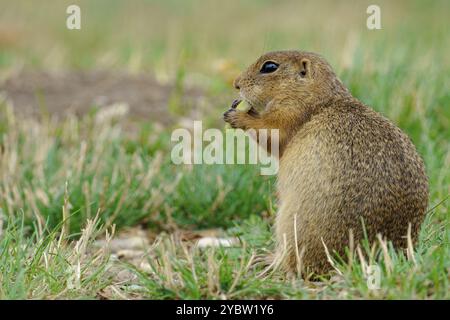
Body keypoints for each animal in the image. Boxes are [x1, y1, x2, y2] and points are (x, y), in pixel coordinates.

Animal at [224, 50, 428, 276]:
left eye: (269, 67)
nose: (236, 84)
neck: (320, 100)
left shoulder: (289, 113)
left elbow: (270, 132)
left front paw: (236, 115)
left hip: (289, 222)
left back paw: (268, 260)